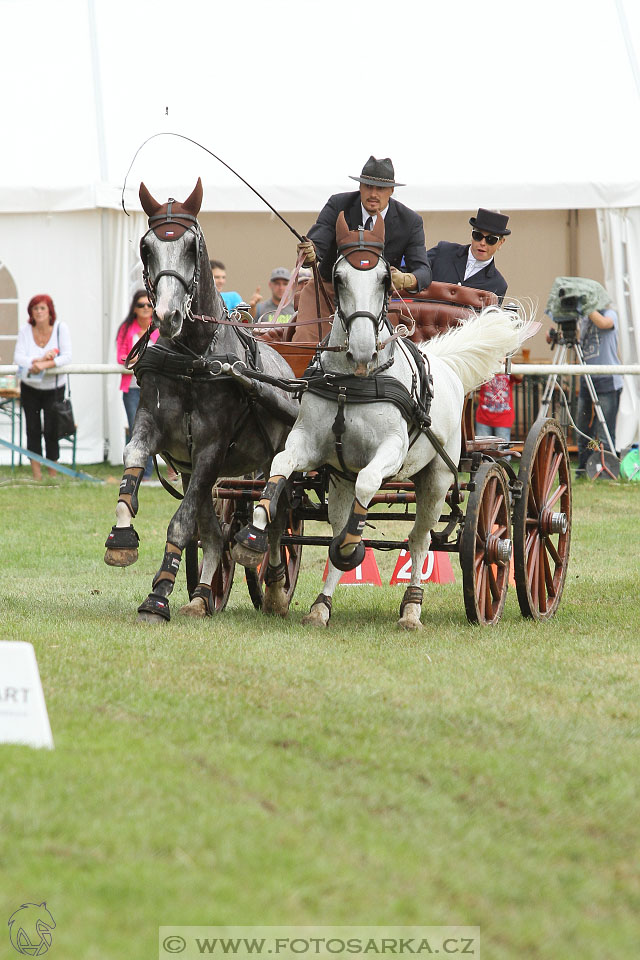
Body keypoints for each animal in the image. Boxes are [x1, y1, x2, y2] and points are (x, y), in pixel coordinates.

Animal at [232, 213, 532, 628]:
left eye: (385, 279)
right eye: (338, 277)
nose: (361, 349)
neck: (353, 382)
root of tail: (446, 363)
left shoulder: (391, 451)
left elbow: (369, 484)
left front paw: (353, 549)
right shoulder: (308, 444)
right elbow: (279, 469)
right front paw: (253, 535)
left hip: (438, 477)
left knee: (421, 540)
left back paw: (412, 608)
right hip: (340, 480)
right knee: (342, 523)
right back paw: (320, 607)